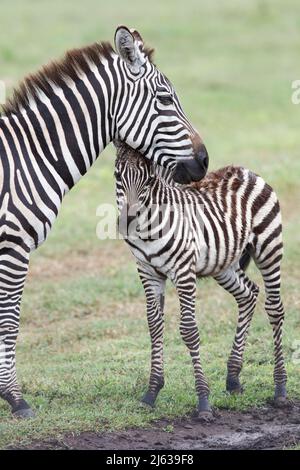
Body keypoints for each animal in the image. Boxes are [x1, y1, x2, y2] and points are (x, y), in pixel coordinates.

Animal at [0, 26, 211, 418]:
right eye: (165, 99)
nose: (204, 162)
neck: (27, 159)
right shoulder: (13, 246)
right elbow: (9, 321)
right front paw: (15, 398)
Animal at [113, 142, 288, 418]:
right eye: (118, 176)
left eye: (149, 180)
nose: (127, 222)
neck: (149, 229)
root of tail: (245, 170)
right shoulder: (148, 272)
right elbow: (154, 325)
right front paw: (151, 393)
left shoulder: (184, 271)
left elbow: (188, 330)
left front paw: (203, 401)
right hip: (223, 263)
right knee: (248, 295)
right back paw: (233, 378)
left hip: (269, 247)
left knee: (274, 309)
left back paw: (280, 387)